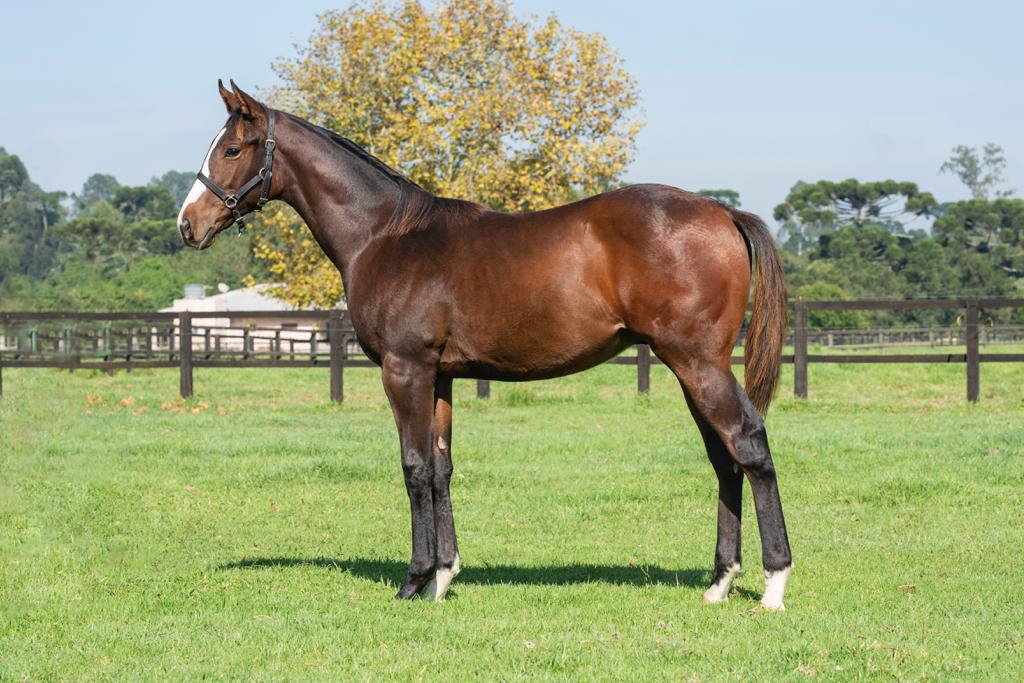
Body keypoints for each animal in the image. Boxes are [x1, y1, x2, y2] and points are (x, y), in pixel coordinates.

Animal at [177, 80, 793, 610]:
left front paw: (413, 580)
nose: (188, 225)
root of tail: (723, 212)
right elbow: (442, 468)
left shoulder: (405, 370)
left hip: (698, 364)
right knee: (725, 459)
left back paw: (773, 584)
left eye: (232, 148)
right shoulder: (440, 376)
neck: (385, 235)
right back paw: (719, 583)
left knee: (750, 446)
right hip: (690, 369)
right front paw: (444, 577)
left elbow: (414, 467)